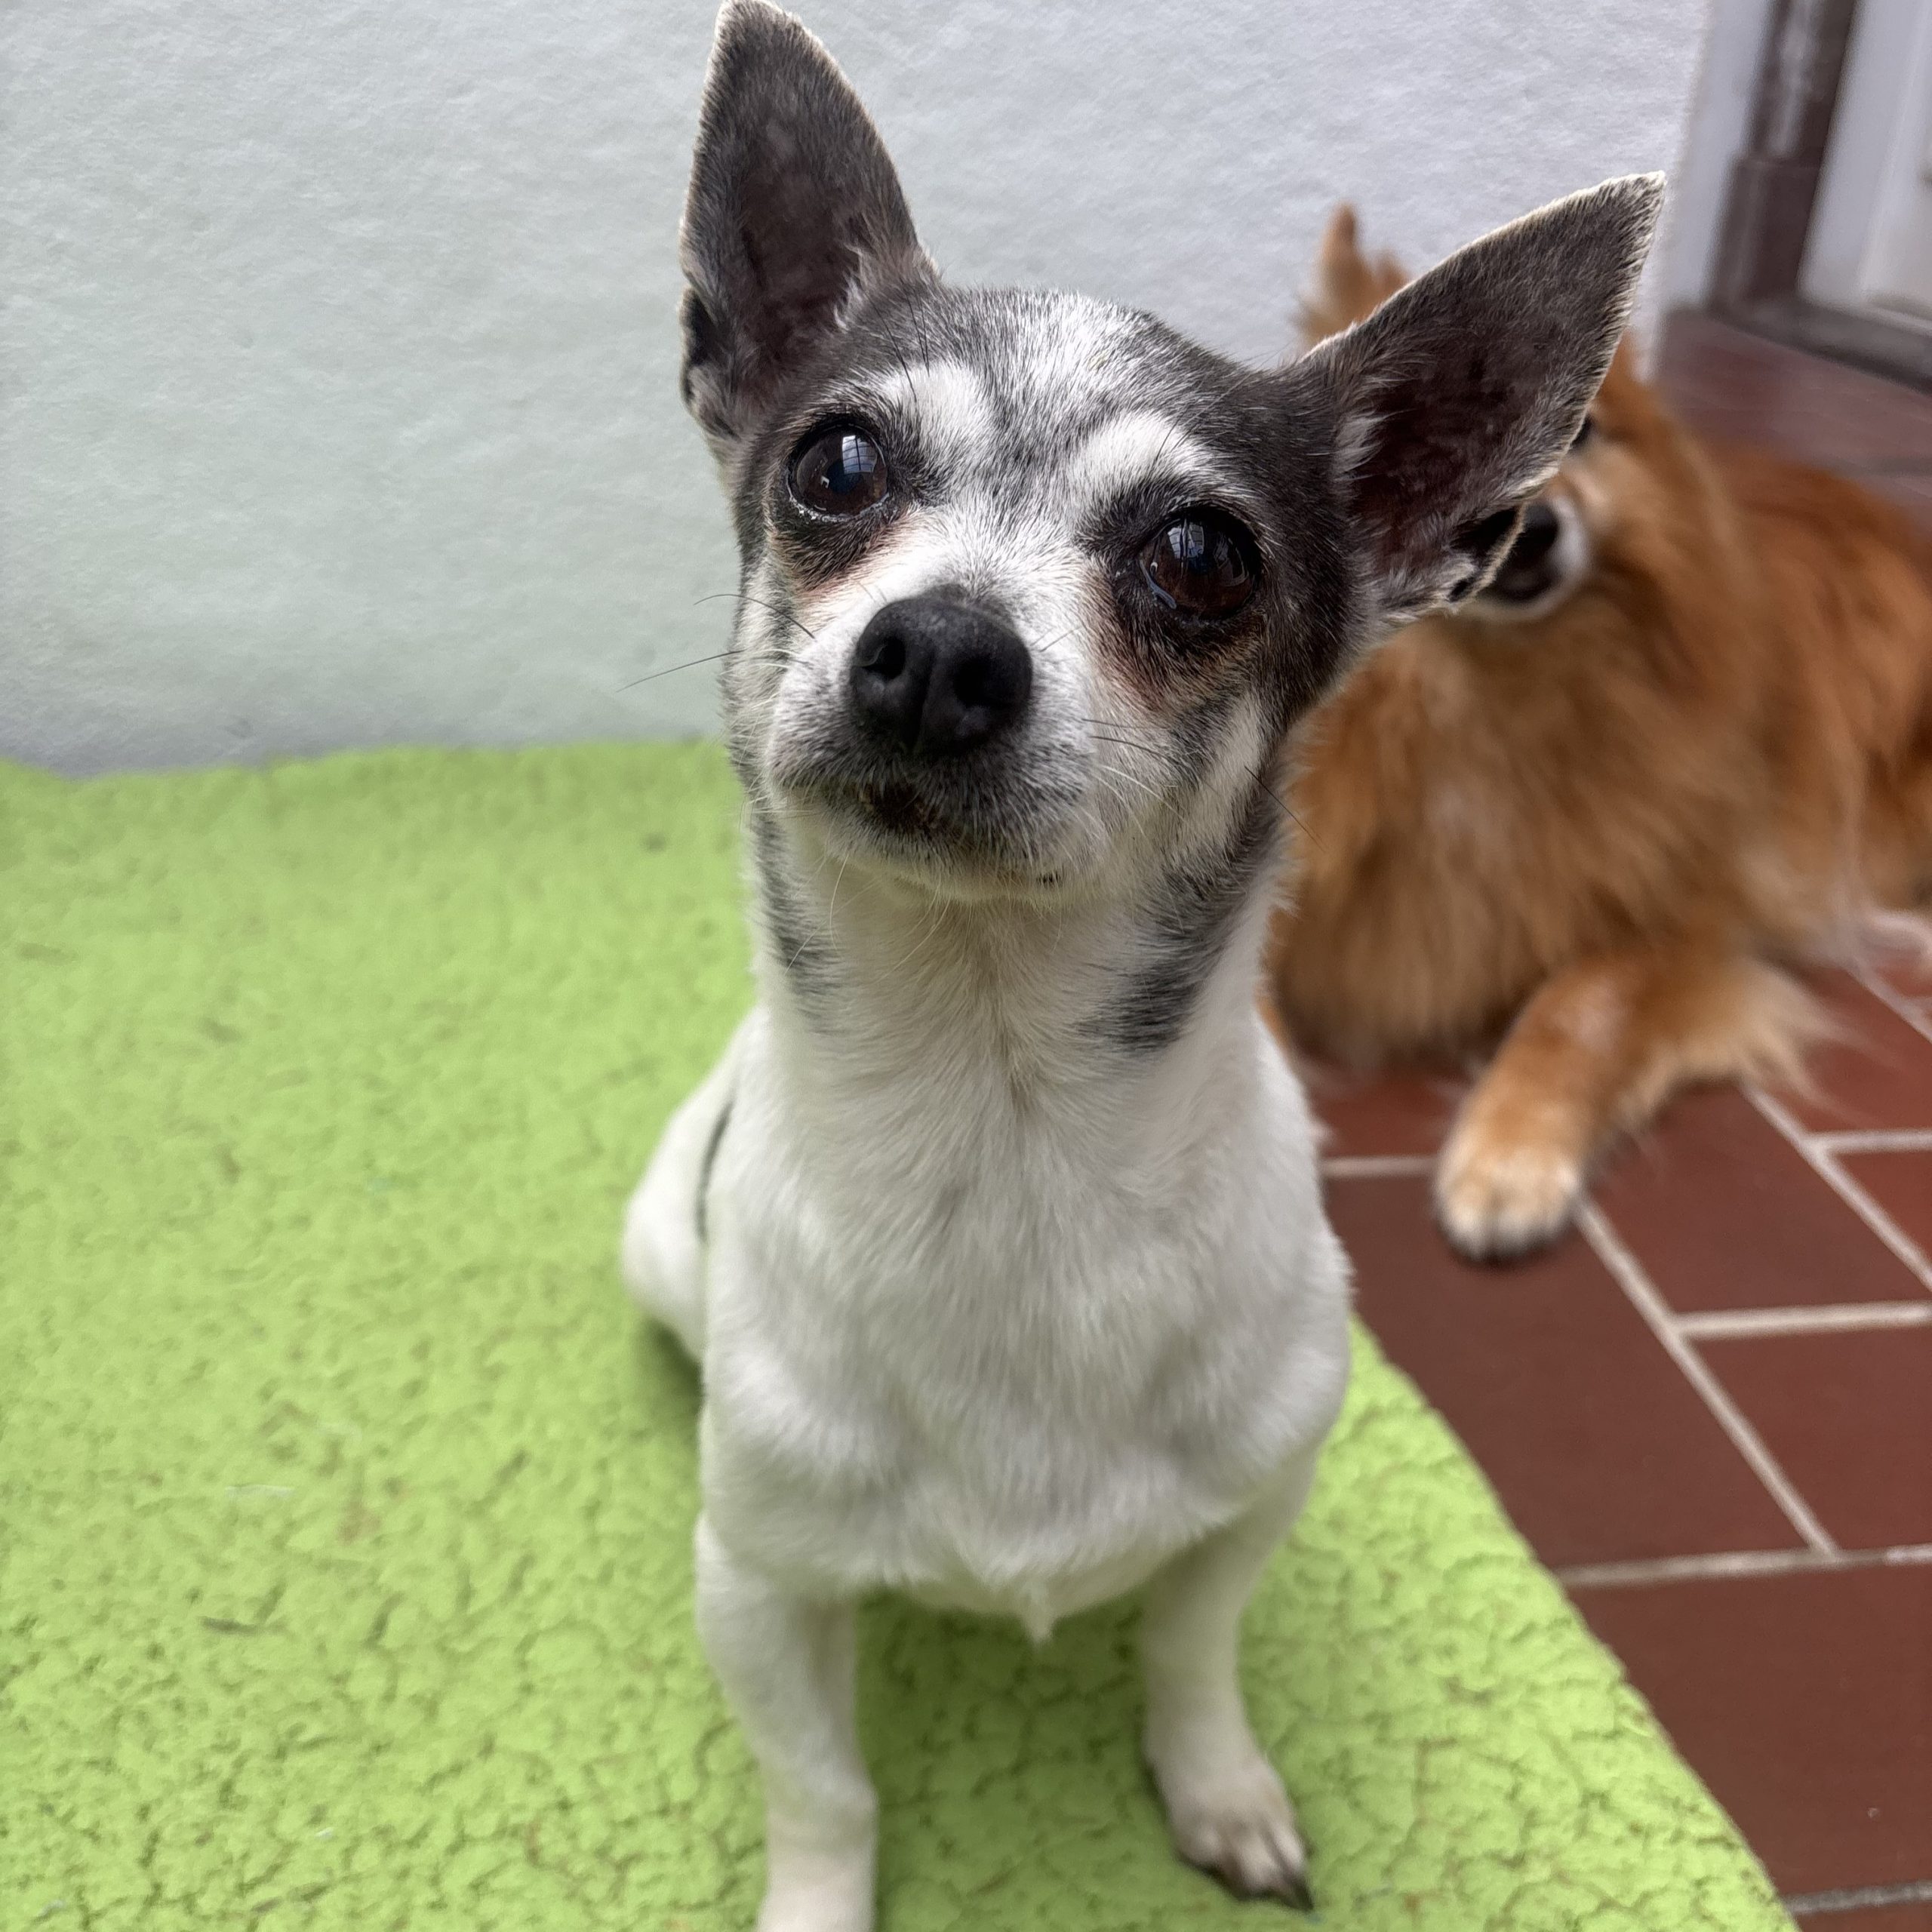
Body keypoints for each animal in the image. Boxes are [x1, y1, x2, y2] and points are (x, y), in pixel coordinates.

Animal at [620, 9, 1658, 1925]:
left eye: (1200, 554)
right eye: (835, 468)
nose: (935, 649)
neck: (1001, 1124)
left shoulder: (1250, 1502)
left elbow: (1191, 1654)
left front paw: (1218, 1788)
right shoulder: (759, 1589)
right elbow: (822, 1784)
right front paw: (817, 1894)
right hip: (660, 1248)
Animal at [1271, 206, 1932, 1262]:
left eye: (1582, 434)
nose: (1531, 528)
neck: (1480, 699)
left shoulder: (1685, 913)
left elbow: (1581, 1006)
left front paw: (1511, 1150)